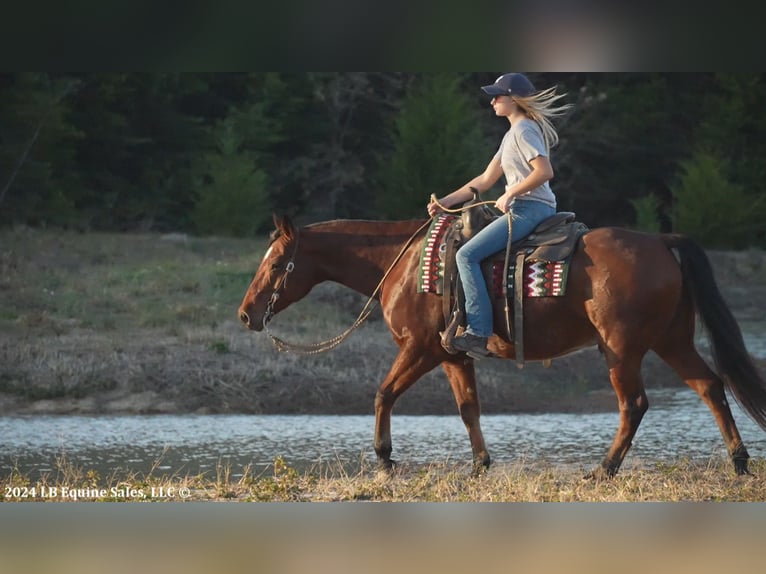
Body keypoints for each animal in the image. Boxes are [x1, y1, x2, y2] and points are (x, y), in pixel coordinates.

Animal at [238, 214, 766, 480]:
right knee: (710, 386)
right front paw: (480, 464)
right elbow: (468, 408)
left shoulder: (421, 350)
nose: (246, 314)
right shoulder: (453, 355)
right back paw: (739, 461)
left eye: (278, 262)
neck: (402, 265)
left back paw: (604, 469)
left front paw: (385, 458)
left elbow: (383, 393)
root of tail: (660, 241)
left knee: (634, 403)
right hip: (671, 340)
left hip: (623, 349)